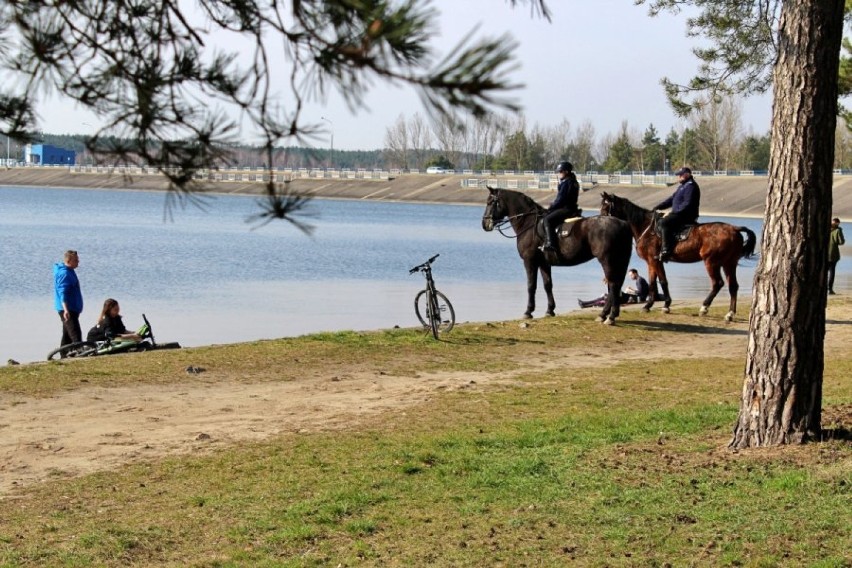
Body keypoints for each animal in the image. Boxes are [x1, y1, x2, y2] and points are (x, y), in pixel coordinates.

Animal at [480, 186, 632, 324]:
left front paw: (528, 311)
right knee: (615, 286)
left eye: (490, 202)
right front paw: (550, 310)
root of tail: (622, 223)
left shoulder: (530, 261)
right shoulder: (544, 263)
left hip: (607, 260)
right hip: (618, 261)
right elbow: (548, 285)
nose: (484, 224)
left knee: (613, 285)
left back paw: (608, 316)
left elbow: (531, 286)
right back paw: (608, 314)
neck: (529, 223)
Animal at [600, 193, 760, 322]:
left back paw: (704, 307)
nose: (600, 220)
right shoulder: (655, 261)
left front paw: (656, 305)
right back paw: (730, 314)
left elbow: (657, 282)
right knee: (733, 286)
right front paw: (659, 305)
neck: (646, 228)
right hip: (729, 263)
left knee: (717, 283)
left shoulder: (652, 260)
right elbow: (658, 282)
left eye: (605, 206)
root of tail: (734, 228)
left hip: (711, 262)